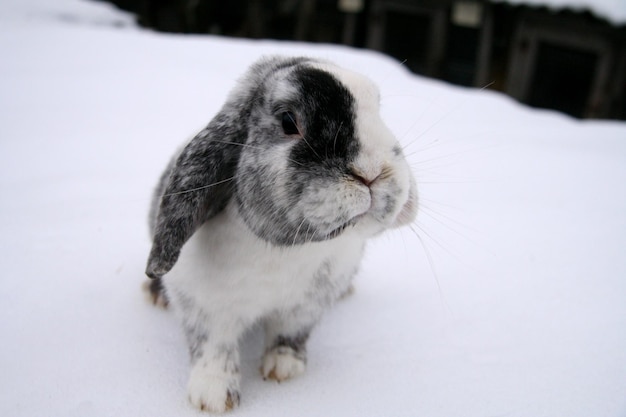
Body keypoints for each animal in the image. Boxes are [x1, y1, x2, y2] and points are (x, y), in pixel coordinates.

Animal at [141, 56, 414, 412]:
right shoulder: (205, 307)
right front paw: (213, 397)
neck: (286, 250)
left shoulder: (305, 307)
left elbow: (289, 335)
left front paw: (284, 369)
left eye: (378, 109)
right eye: (288, 121)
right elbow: (213, 348)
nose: (372, 173)